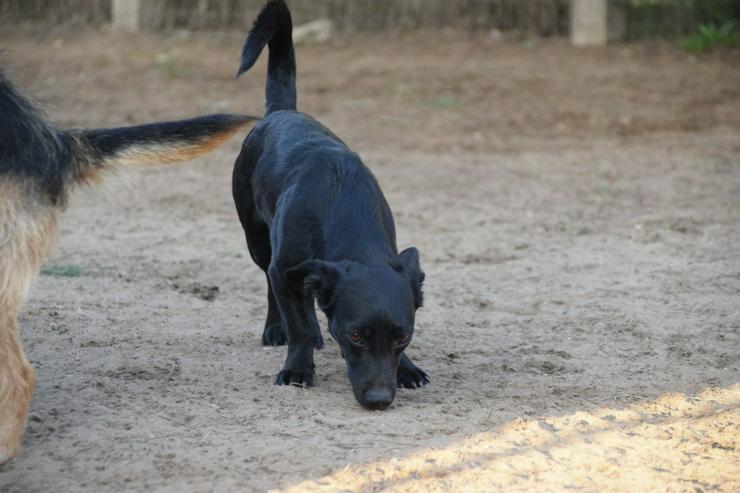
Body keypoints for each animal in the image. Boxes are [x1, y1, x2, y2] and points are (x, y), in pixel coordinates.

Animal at [231, 0, 428, 408]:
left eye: (403, 336)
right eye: (355, 336)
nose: (380, 400)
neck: (344, 211)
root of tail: (281, 111)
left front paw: (408, 369)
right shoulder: (282, 268)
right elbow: (300, 325)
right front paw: (297, 368)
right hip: (258, 243)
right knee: (275, 291)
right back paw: (276, 330)